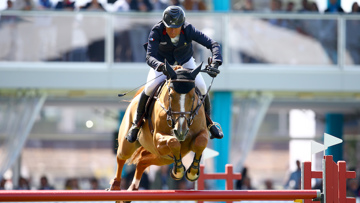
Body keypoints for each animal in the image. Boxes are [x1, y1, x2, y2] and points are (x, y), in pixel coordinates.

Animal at [109, 61, 208, 193]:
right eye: (170, 96)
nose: (181, 132)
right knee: (121, 157)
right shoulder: (157, 139)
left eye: (193, 97)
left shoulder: (202, 132)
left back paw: (133, 187)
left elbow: (201, 142)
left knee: (142, 161)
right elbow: (173, 142)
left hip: (162, 158)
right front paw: (178, 171)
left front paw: (192, 172)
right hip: (130, 145)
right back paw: (115, 186)